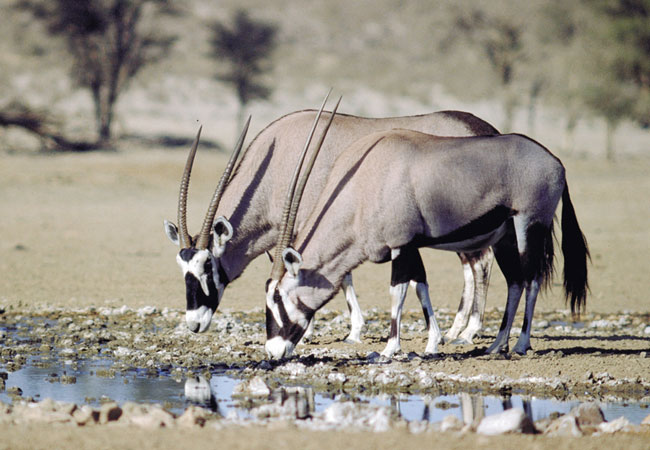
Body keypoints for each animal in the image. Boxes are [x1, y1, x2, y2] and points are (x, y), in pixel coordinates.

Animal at [164, 97, 500, 346]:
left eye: (208, 265)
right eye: (183, 267)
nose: (194, 323)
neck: (275, 163)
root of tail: (486, 128)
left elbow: (338, 276)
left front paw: (344, 331)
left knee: (481, 263)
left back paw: (469, 331)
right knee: (471, 266)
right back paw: (457, 329)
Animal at [264, 100, 589, 360]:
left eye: (278, 298)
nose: (272, 351)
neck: (364, 184)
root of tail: (555, 162)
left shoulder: (401, 243)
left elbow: (397, 292)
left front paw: (388, 349)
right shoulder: (409, 246)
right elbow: (418, 284)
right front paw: (428, 342)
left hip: (529, 226)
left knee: (531, 280)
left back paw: (521, 344)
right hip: (505, 237)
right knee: (515, 282)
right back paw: (497, 345)